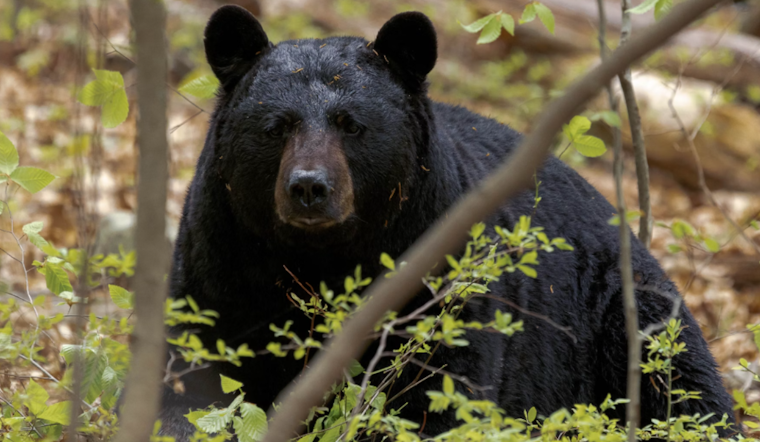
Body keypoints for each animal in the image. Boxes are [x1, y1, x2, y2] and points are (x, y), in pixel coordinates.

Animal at [158, 5, 736, 440]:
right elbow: (191, 381)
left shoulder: (438, 273)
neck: (320, 258)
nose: (308, 187)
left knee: (684, 386)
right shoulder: (220, 263)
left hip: (622, 313)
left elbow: (441, 392)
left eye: (352, 125)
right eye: (277, 127)